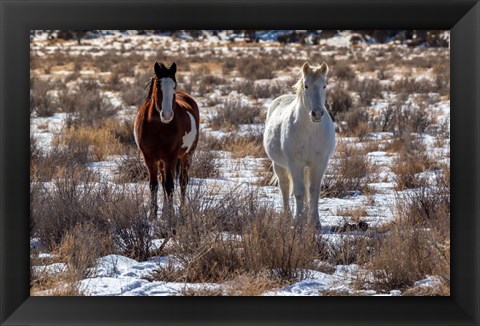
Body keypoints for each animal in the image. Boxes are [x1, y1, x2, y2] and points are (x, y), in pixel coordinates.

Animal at [133, 62, 199, 220]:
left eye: (174, 85)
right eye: (158, 85)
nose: (167, 114)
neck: (158, 127)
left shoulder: (171, 157)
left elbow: (170, 185)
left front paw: (169, 214)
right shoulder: (149, 158)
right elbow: (154, 185)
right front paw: (153, 214)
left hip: (186, 156)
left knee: (183, 181)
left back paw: (181, 210)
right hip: (162, 161)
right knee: (163, 181)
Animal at [264, 61, 336, 225]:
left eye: (324, 85)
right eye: (306, 86)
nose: (317, 114)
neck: (310, 131)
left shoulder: (319, 163)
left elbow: (314, 191)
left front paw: (315, 222)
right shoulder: (294, 163)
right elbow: (298, 192)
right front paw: (297, 221)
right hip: (279, 165)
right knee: (284, 187)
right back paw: (287, 216)